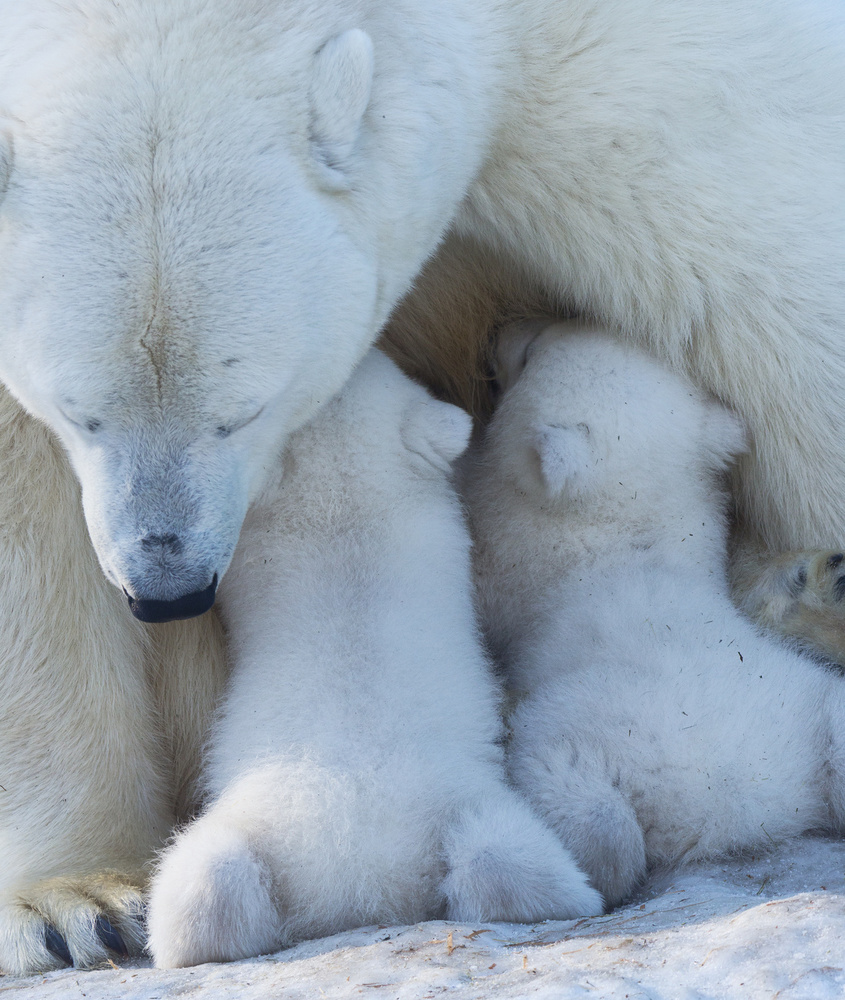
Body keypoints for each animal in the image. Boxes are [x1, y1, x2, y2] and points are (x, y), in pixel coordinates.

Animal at [462, 320, 845, 908]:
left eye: (530, 353)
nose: (499, 327)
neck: (633, 529)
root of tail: (729, 810)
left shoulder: (510, 549)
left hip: (582, 722)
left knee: (580, 796)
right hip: (814, 709)